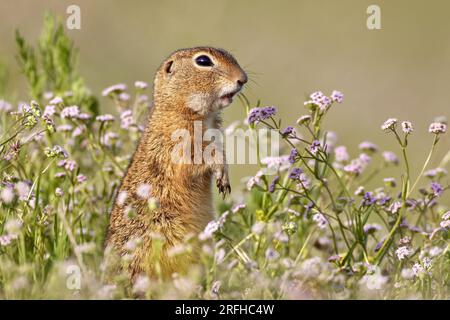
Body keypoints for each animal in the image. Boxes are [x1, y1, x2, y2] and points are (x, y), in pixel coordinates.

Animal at [105, 46, 248, 278]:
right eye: (203, 61)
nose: (243, 79)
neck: (179, 107)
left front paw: (224, 180)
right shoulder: (181, 146)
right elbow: (200, 159)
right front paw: (221, 176)